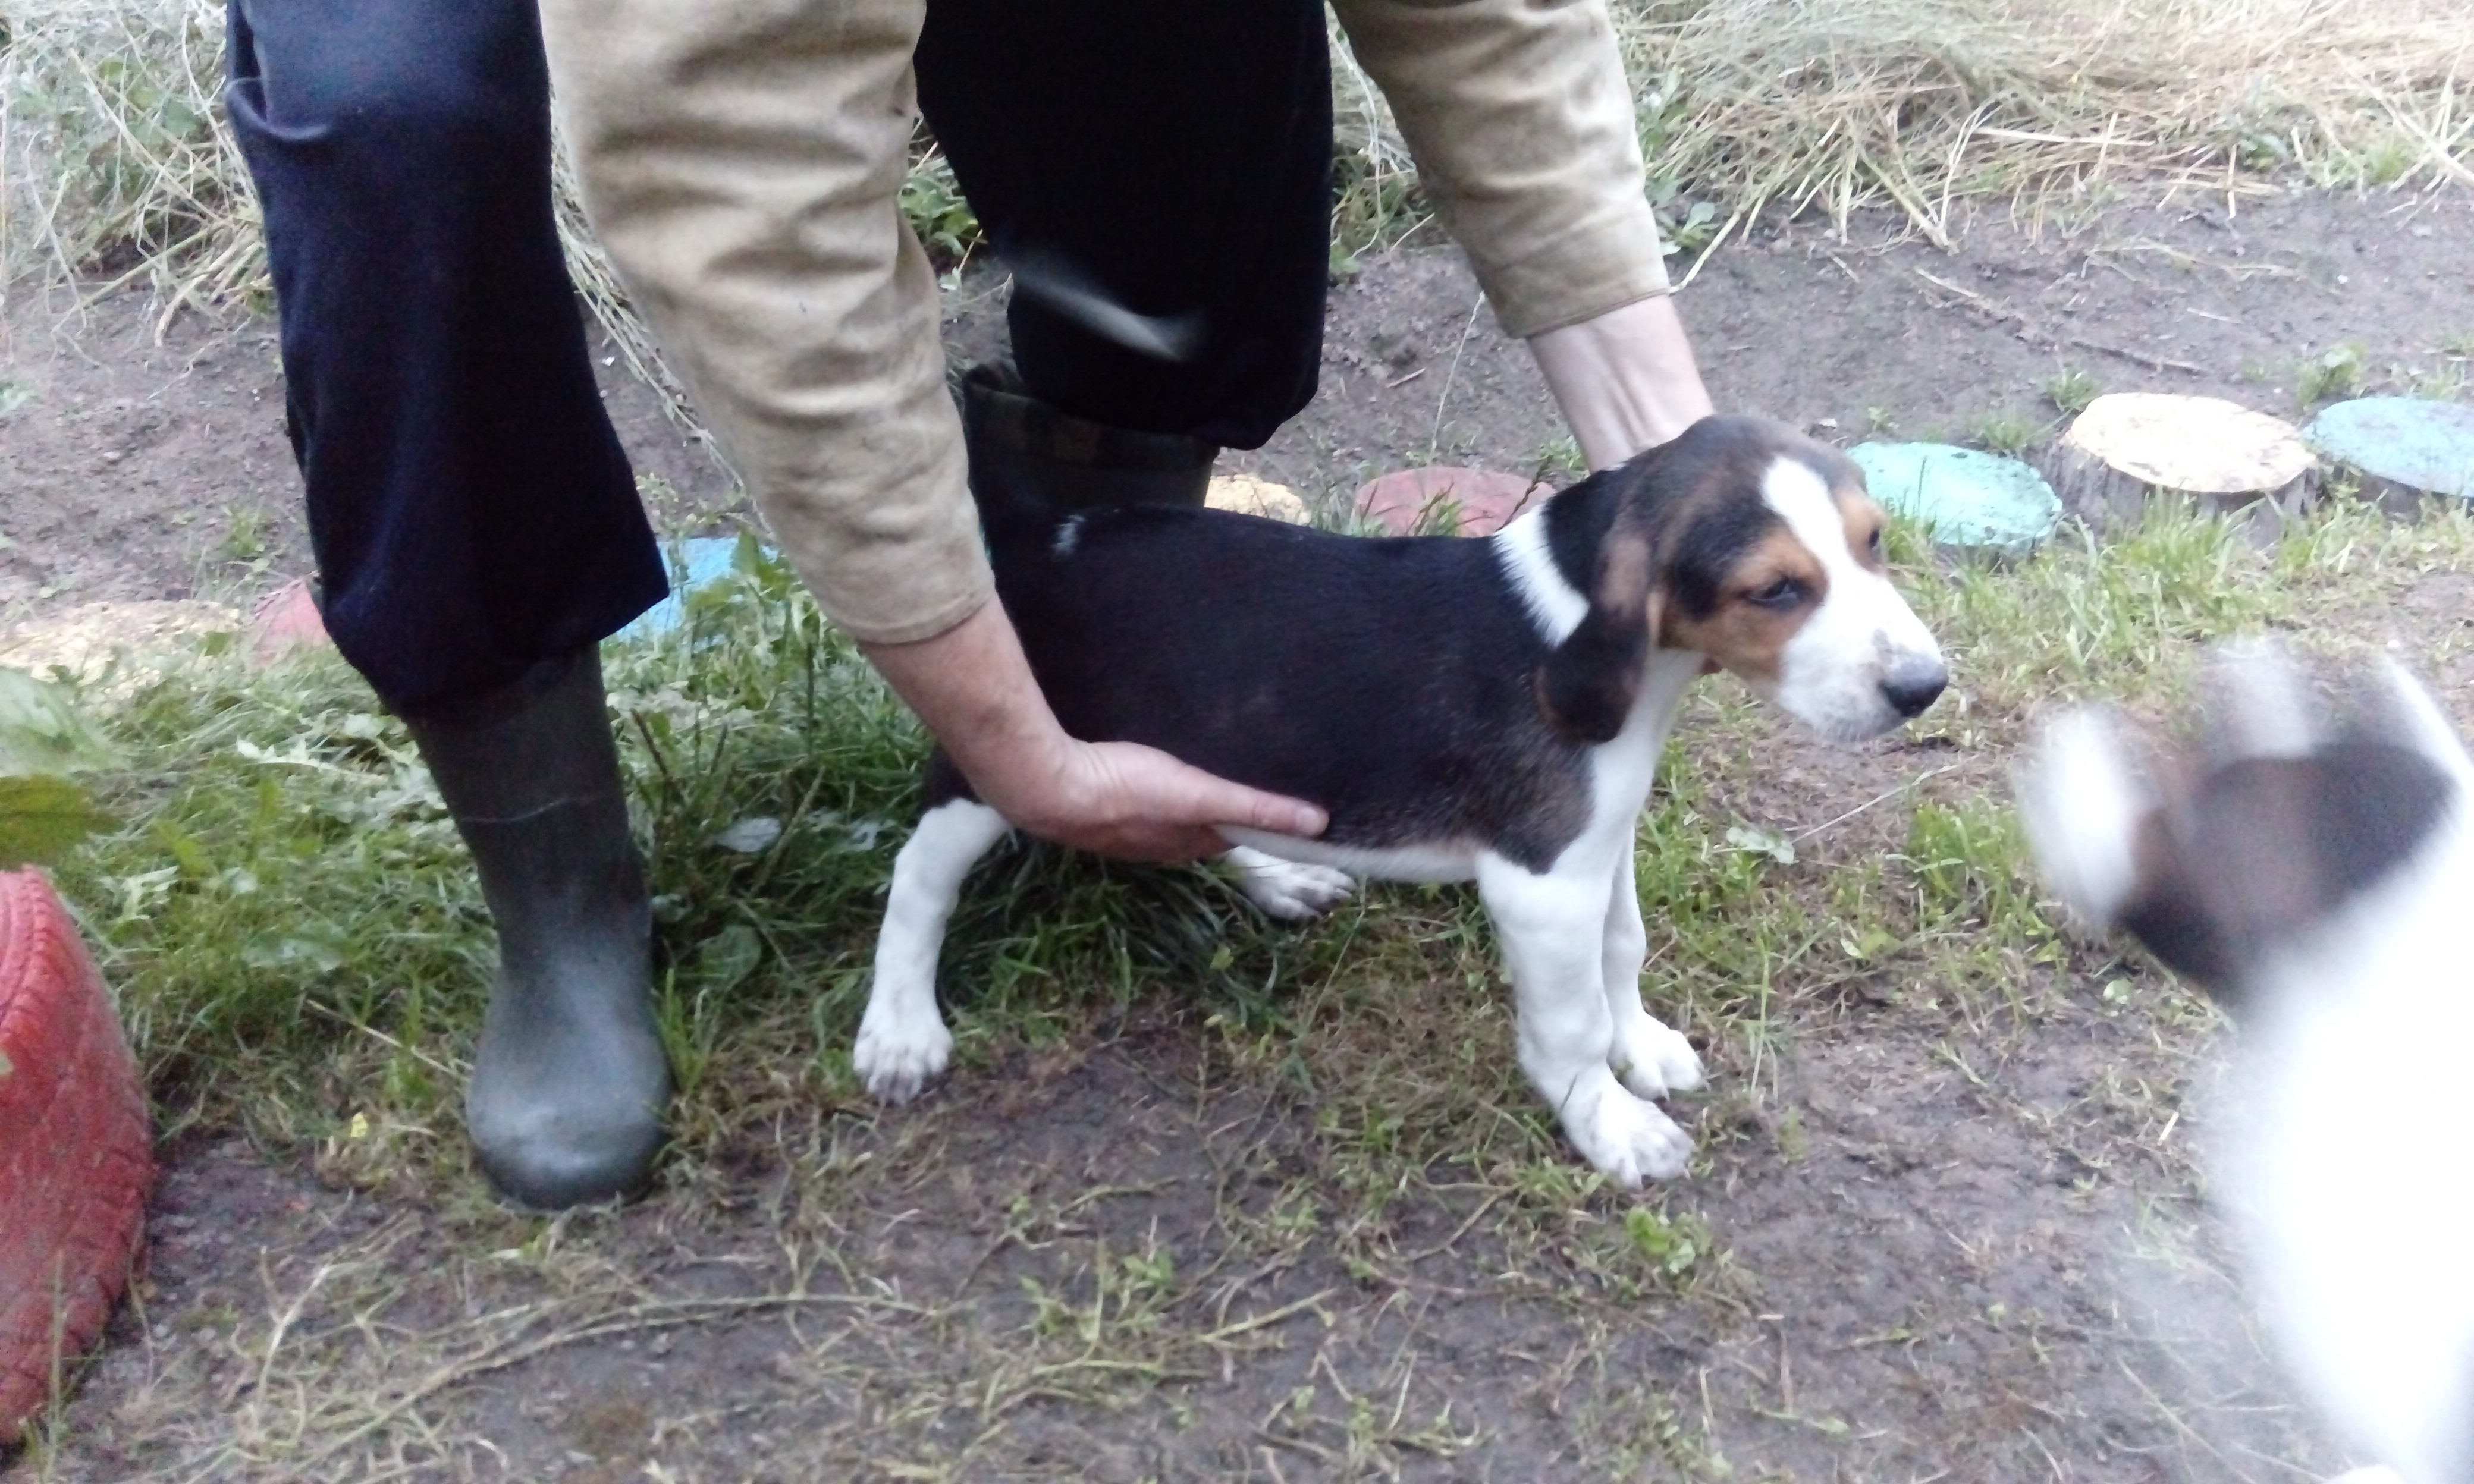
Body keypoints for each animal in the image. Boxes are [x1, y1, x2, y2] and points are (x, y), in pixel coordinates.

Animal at [854, 414, 1948, 1186]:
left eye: (1875, 541)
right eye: (1775, 590)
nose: (1926, 687)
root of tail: (1050, 539)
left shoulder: (1598, 844)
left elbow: (1623, 950)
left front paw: (1640, 1045)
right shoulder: (1542, 884)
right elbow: (1571, 1022)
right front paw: (1609, 1123)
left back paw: (1281, 872)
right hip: (997, 763)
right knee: (917, 876)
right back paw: (900, 1026)